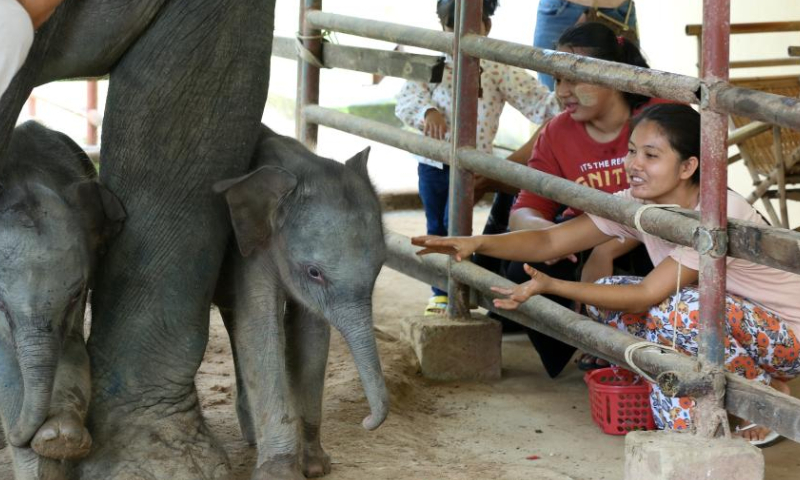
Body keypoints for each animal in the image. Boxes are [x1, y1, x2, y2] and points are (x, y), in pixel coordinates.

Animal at [0, 121, 124, 480]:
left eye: (75, 296)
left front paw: (61, 439)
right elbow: (6, 367)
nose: (16, 437)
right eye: (2, 307)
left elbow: (74, 350)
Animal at [212, 126, 388, 479]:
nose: (366, 422)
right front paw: (280, 474)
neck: (298, 166)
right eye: (314, 272)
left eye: (380, 266)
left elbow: (310, 335)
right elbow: (260, 331)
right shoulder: (250, 250)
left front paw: (316, 466)